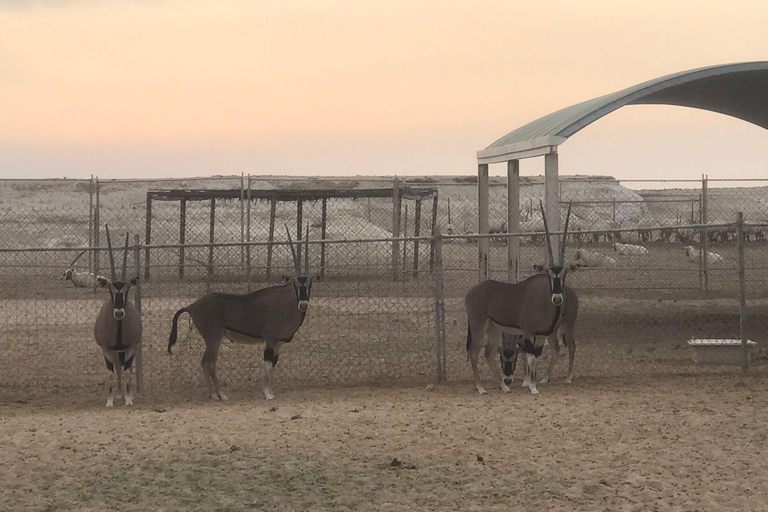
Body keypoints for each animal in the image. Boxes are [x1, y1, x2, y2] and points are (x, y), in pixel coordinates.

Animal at [94, 226, 142, 406]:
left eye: (127, 289)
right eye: (110, 290)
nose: (119, 313)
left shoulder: (130, 347)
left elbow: (128, 371)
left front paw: (128, 399)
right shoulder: (106, 348)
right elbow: (111, 373)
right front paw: (110, 401)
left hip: (127, 349)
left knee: (125, 368)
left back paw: (125, 394)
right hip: (115, 351)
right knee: (117, 368)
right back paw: (118, 394)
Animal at [169, 227, 312, 400]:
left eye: (310, 283)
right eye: (295, 284)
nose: (303, 304)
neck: (286, 302)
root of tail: (192, 306)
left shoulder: (278, 344)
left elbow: (273, 367)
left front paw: (270, 392)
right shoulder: (269, 340)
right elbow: (267, 366)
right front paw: (266, 394)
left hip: (212, 339)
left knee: (204, 362)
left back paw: (212, 394)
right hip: (214, 338)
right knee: (210, 363)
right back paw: (221, 395)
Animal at [464, 202, 580, 394]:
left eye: (564, 274)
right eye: (548, 273)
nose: (557, 298)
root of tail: (471, 293)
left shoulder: (539, 335)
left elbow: (534, 357)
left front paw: (532, 382)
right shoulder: (527, 332)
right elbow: (531, 357)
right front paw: (532, 387)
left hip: (494, 328)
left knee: (488, 353)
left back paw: (504, 387)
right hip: (478, 325)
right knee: (473, 353)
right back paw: (480, 388)